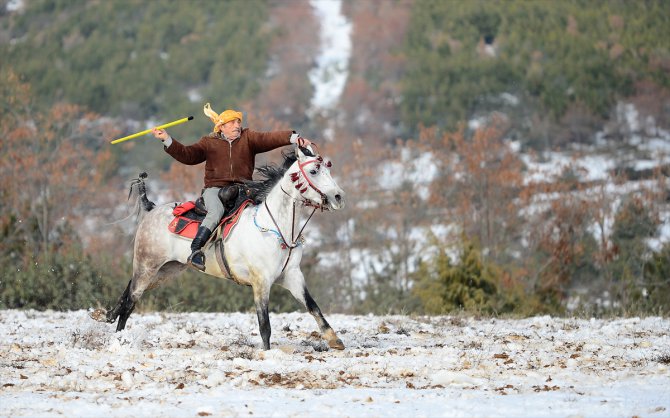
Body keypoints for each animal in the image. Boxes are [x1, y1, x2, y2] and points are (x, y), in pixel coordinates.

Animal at [93, 147, 346, 350]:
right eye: (313, 171)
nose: (338, 197)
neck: (273, 227)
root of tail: (151, 209)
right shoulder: (261, 282)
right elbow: (264, 324)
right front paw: (267, 353)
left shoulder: (292, 276)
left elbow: (313, 307)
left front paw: (334, 340)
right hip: (147, 266)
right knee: (130, 302)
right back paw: (119, 339)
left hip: (165, 270)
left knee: (129, 290)